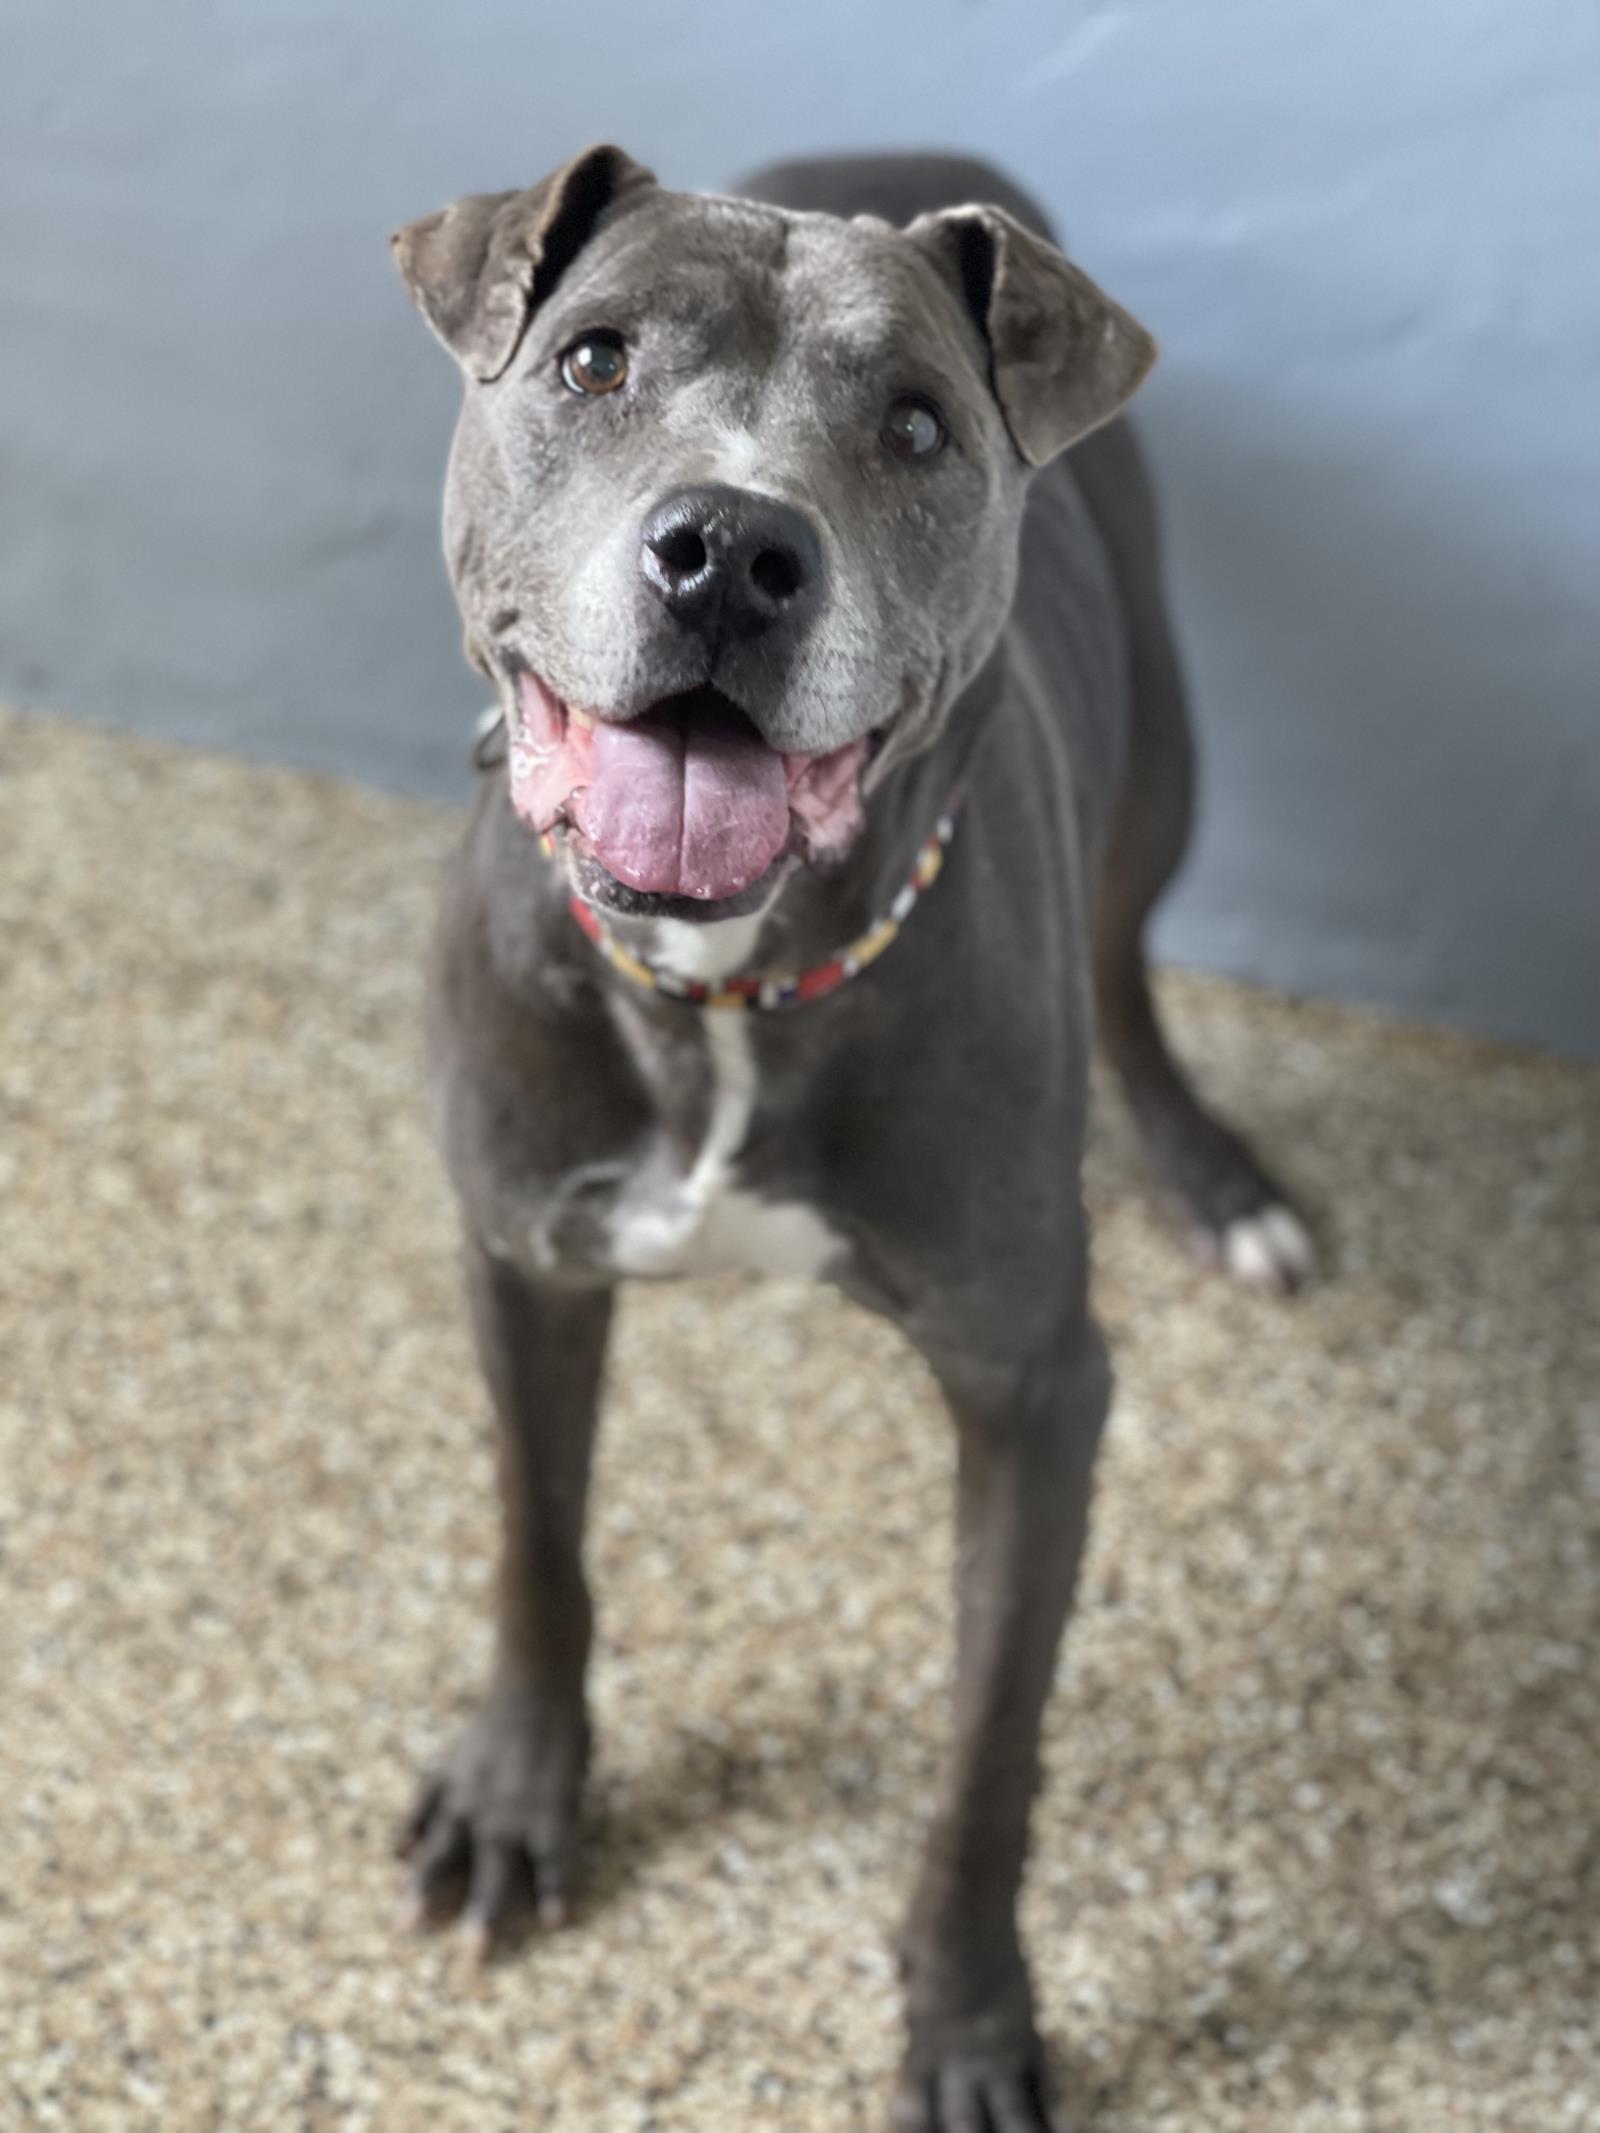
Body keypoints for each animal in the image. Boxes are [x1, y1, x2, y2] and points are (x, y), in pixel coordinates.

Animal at [388, 150, 1314, 2133]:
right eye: (593, 360)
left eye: (914, 425)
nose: (732, 548)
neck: (728, 987)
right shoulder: (521, 1252)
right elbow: (536, 1548)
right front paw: (517, 1791)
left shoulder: (1036, 1389)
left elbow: (987, 1752)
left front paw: (964, 2015)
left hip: (1165, 762)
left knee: (1129, 956)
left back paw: (1217, 1179)